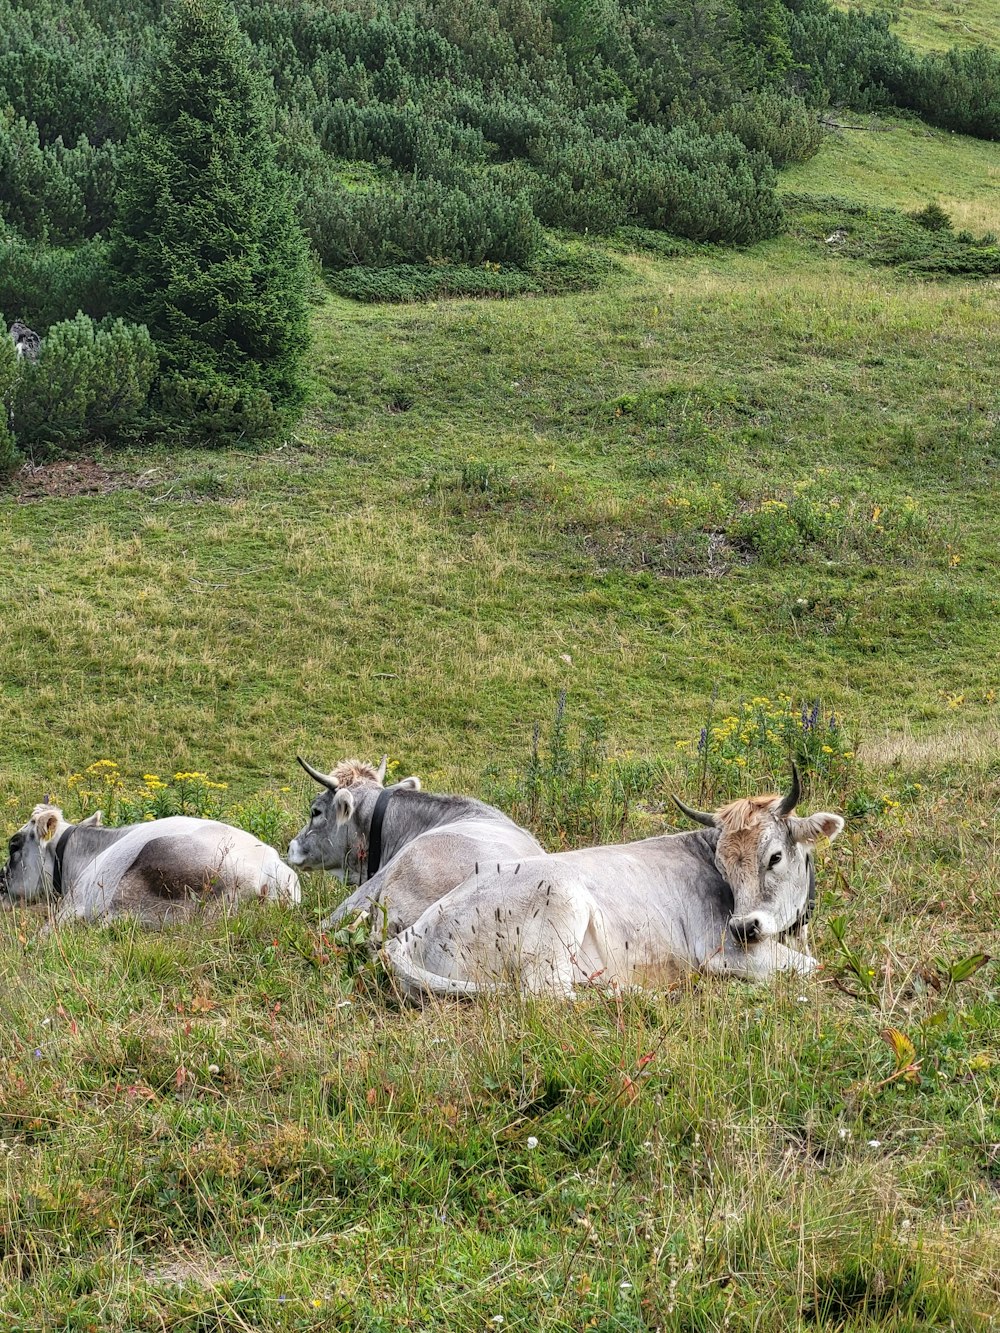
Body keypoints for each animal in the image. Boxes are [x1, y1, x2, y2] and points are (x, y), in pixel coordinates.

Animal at [384, 767, 848, 997]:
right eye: (725, 868)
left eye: (774, 857)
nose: (742, 926)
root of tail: (413, 930)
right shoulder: (721, 952)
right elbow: (812, 968)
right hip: (561, 906)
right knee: (546, 994)